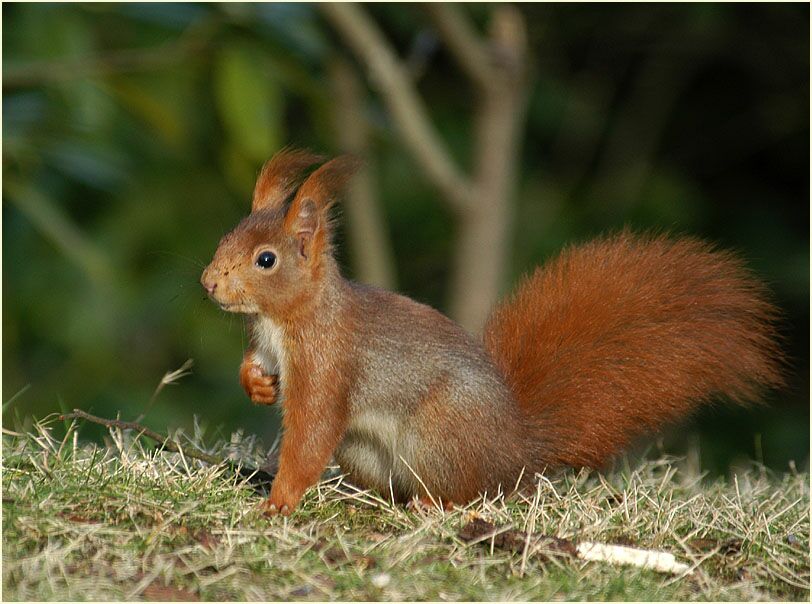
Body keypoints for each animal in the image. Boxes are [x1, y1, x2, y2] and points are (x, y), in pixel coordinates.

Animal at [201, 148, 784, 516]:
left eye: (266, 259)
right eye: (226, 235)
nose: (208, 282)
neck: (283, 320)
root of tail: (517, 452)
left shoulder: (328, 365)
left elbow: (311, 434)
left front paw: (280, 501)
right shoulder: (271, 348)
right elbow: (256, 370)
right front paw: (258, 385)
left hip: (440, 436)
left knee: (473, 495)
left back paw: (433, 505)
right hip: (368, 451)